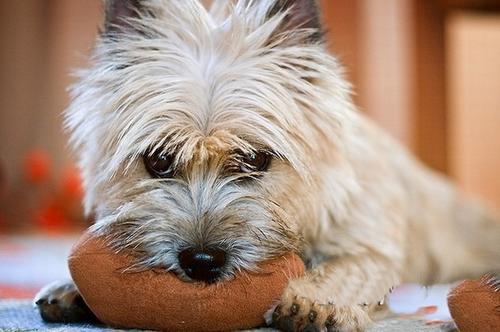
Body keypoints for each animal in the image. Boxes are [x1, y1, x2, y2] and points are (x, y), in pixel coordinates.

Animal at [34, 1, 500, 330]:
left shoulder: (370, 244)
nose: (202, 261)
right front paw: (71, 288)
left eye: (256, 159)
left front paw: (317, 300)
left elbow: (353, 265)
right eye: (159, 161)